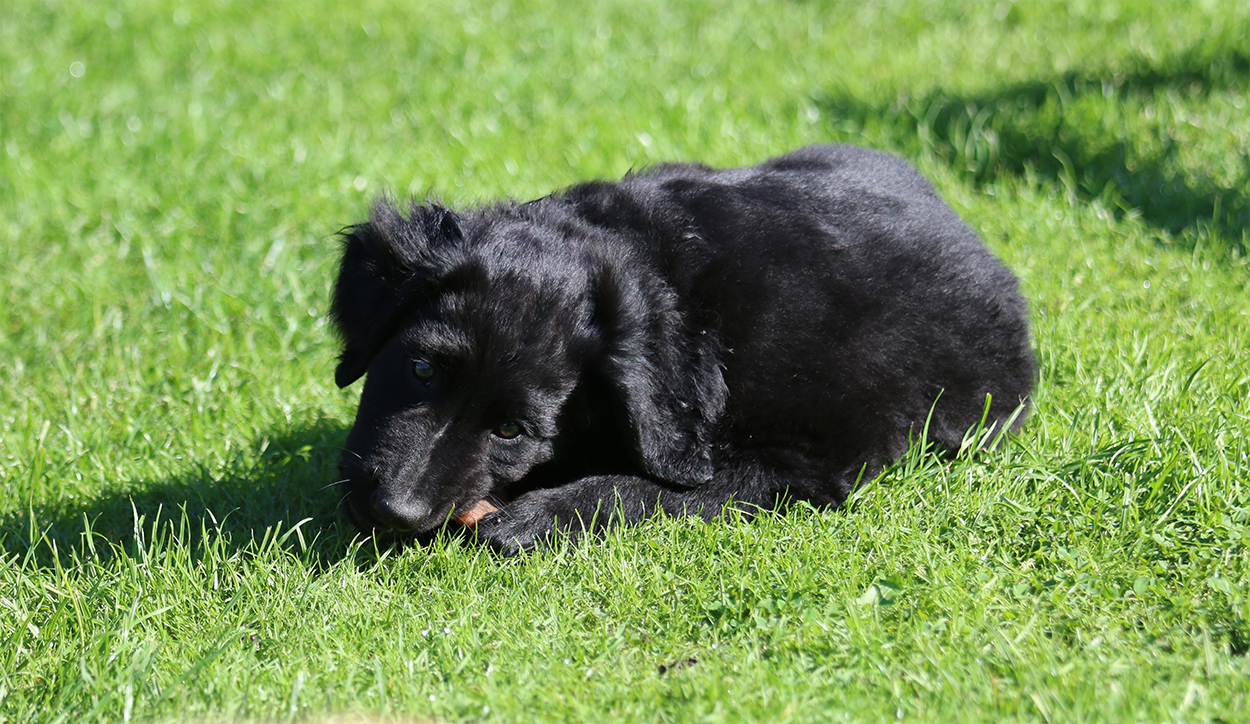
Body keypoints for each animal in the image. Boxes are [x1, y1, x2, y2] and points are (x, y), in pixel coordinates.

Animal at [330, 144, 1035, 554]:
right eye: (421, 369)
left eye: (511, 431)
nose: (394, 511)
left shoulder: (803, 460)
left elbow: (659, 487)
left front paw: (543, 515)